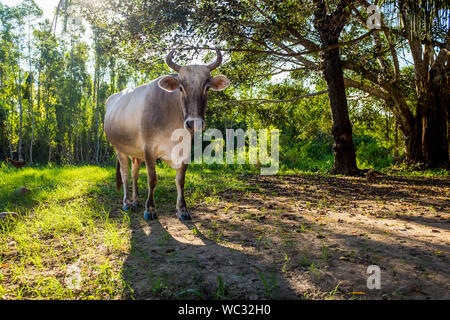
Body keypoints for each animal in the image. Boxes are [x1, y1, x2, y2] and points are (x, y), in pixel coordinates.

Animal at [105, 50, 230, 221]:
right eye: (181, 88)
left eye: (207, 88)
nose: (194, 123)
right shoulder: (149, 148)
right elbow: (152, 178)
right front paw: (150, 209)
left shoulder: (185, 149)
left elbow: (180, 180)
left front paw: (182, 210)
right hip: (120, 149)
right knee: (125, 175)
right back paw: (127, 203)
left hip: (136, 153)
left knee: (134, 174)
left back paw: (136, 201)